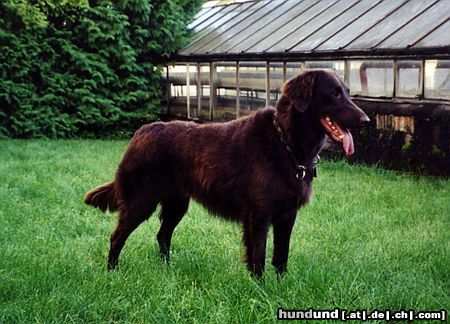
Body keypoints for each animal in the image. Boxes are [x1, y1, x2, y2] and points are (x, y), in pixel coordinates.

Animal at [84, 68, 370, 276]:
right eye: (334, 94)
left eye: (347, 92)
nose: (366, 120)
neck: (286, 143)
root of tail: (140, 132)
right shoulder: (258, 215)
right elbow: (258, 256)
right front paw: (260, 290)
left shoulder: (287, 215)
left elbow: (281, 256)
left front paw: (281, 287)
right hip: (141, 201)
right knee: (117, 236)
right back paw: (112, 272)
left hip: (177, 203)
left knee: (162, 235)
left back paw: (167, 270)